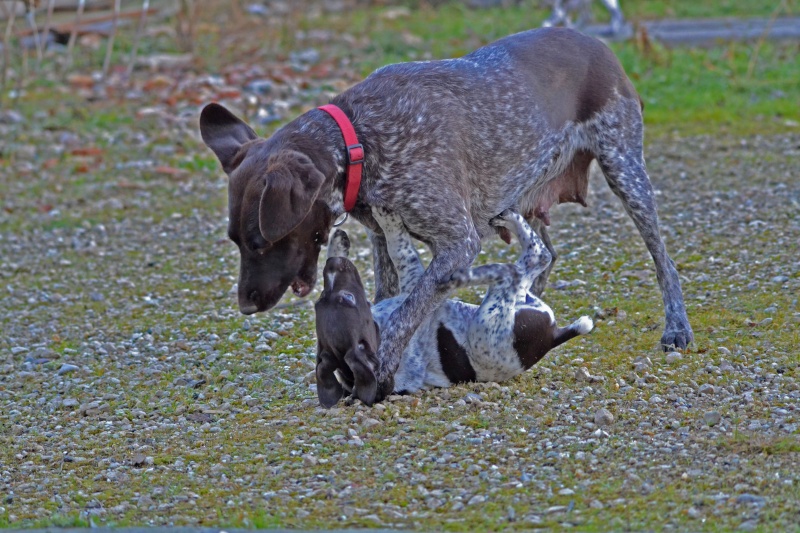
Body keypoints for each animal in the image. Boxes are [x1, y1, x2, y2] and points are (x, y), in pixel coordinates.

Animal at [314, 208, 592, 408]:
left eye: (321, 300)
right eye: (349, 298)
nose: (332, 265)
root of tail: (553, 336)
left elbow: (395, 249)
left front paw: (337, 243)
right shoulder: (413, 281)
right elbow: (399, 247)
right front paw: (386, 217)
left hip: (520, 302)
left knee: (532, 263)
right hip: (489, 322)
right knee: (527, 262)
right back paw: (469, 268)